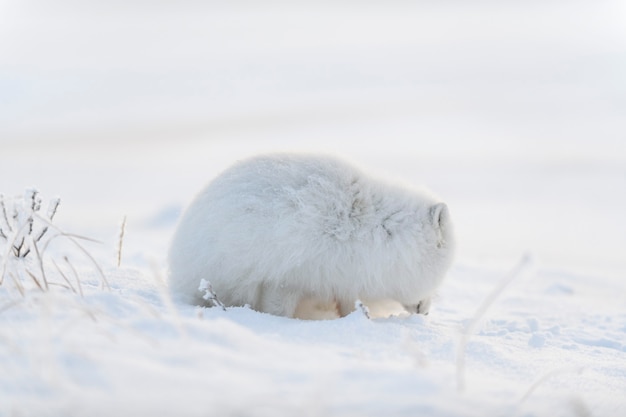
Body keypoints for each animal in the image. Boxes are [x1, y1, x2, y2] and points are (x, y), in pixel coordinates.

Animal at [167, 153, 454, 318]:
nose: (425, 312)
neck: (376, 229)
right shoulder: (285, 279)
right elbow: (278, 308)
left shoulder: (345, 281)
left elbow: (349, 307)